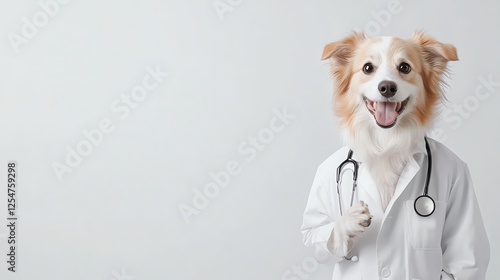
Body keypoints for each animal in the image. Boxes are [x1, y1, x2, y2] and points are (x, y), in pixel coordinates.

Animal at [320, 31, 458, 258]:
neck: (386, 141)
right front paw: (349, 219)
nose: (387, 87)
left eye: (404, 67)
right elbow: (317, 232)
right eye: (368, 68)